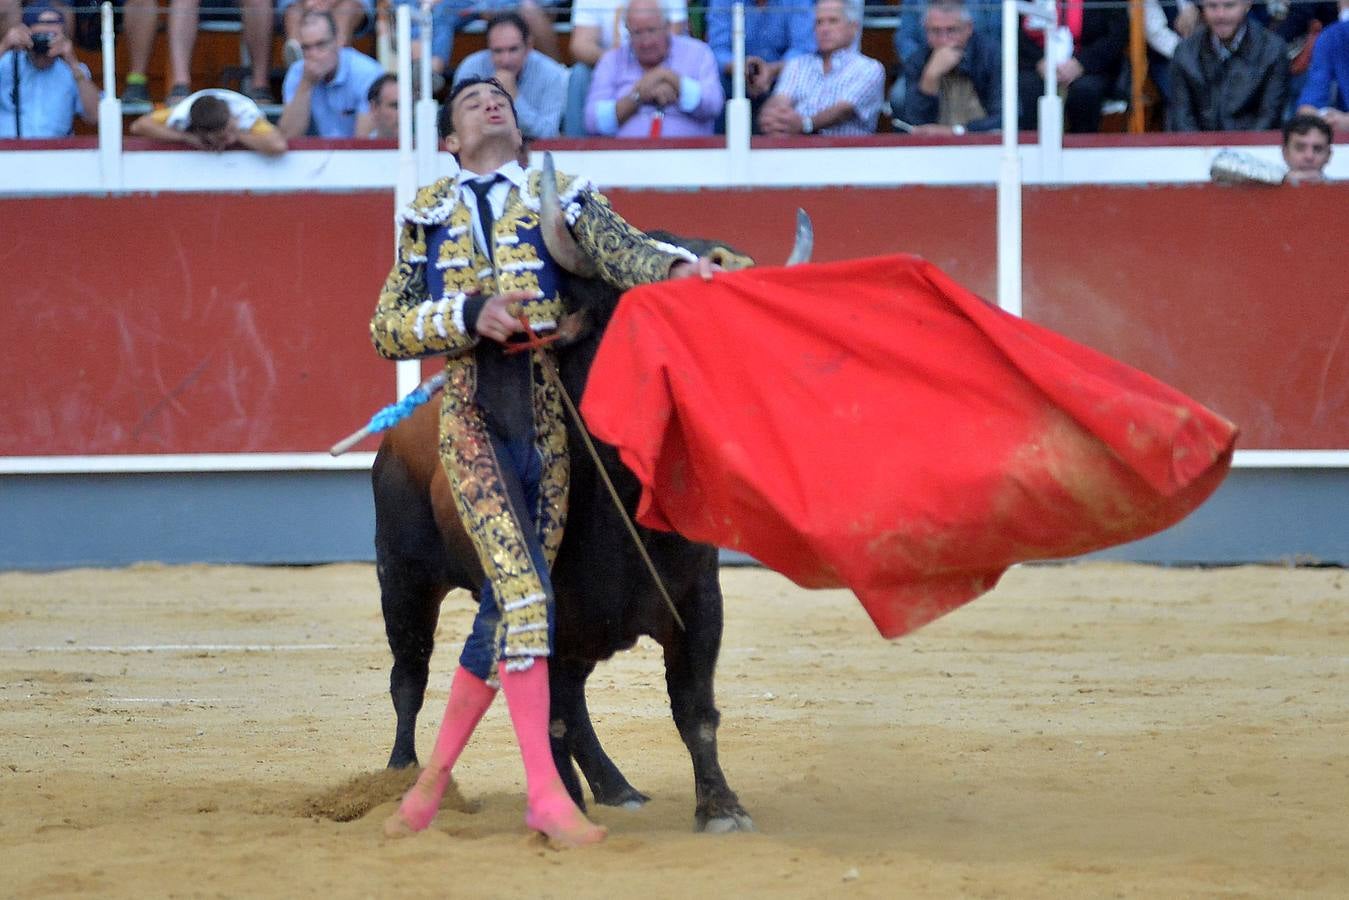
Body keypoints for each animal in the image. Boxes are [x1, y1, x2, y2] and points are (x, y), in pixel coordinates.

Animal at [372, 167, 809, 831]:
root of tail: (401, 431)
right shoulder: (543, 609)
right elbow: (547, 715)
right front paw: (564, 812)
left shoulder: (700, 601)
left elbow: (694, 708)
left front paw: (720, 807)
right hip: (403, 578)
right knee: (410, 676)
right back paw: (402, 778)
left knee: (571, 702)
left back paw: (615, 786)